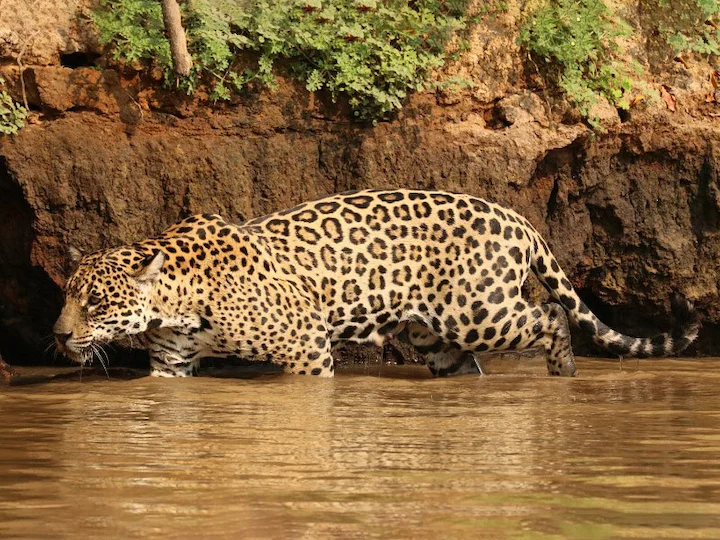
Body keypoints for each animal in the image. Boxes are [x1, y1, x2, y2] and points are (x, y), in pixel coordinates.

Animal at [53, 189, 700, 378]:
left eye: (95, 303)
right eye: (67, 297)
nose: (57, 336)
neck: (177, 300)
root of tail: (519, 219)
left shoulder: (305, 347)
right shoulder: (170, 364)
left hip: (481, 312)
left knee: (551, 315)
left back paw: (563, 372)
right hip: (429, 333)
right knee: (460, 363)